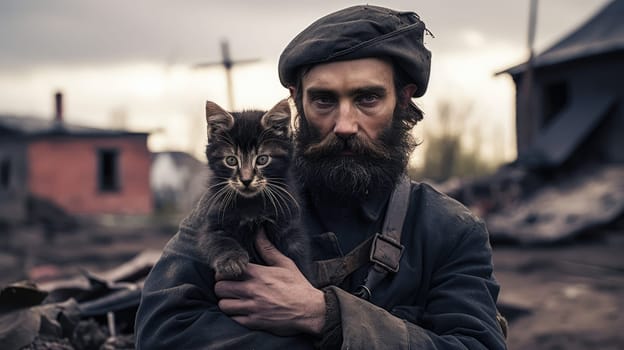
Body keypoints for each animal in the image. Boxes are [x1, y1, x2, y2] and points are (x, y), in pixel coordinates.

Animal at [200, 100, 310, 280]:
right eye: (231, 160)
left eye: (262, 159)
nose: (246, 180)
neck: (251, 204)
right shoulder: (213, 220)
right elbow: (218, 240)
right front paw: (231, 261)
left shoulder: (289, 224)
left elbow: (298, 257)